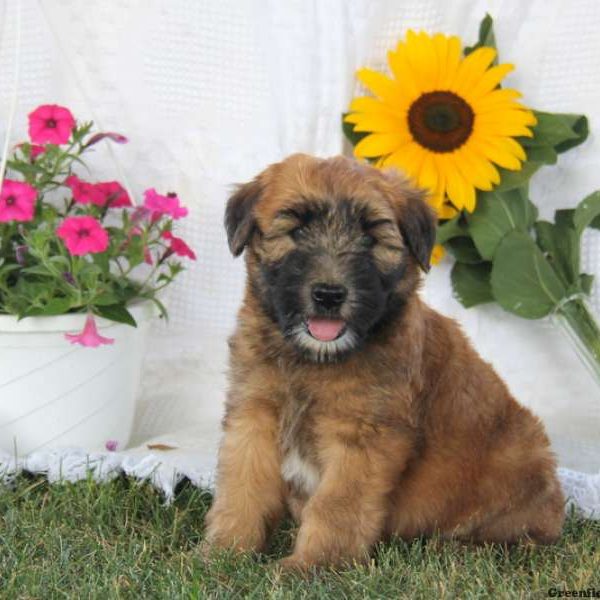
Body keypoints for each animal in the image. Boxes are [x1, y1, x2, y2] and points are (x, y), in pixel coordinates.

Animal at [204, 152, 564, 568]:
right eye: (296, 230)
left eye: (370, 239)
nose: (329, 294)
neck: (311, 362)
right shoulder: (253, 413)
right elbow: (242, 485)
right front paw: (225, 551)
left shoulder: (363, 436)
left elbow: (337, 505)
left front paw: (315, 565)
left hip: (519, 462)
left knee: (518, 533)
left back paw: (458, 547)